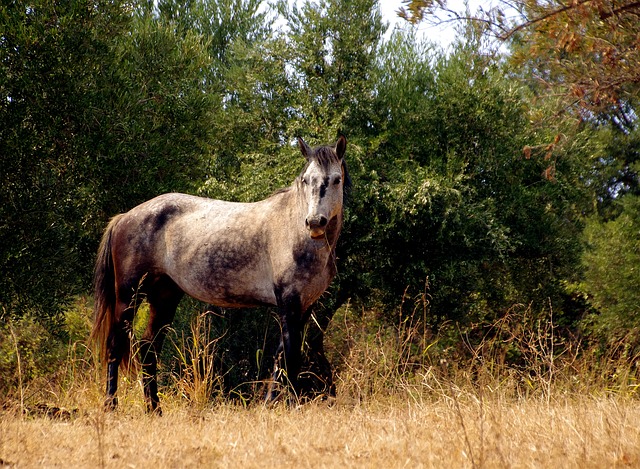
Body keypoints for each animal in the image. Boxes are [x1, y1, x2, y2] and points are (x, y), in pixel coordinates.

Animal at [90, 134, 348, 410]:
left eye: (336, 179)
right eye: (306, 179)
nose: (315, 223)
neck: (294, 230)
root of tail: (125, 216)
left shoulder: (304, 306)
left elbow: (281, 357)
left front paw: (270, 403)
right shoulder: (289, 303)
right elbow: (290, 357)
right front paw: (289, 405)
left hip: (164, 297)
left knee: (149, 349)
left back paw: (155, 409)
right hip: (128, 296)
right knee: (116, 345)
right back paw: (110, 406)